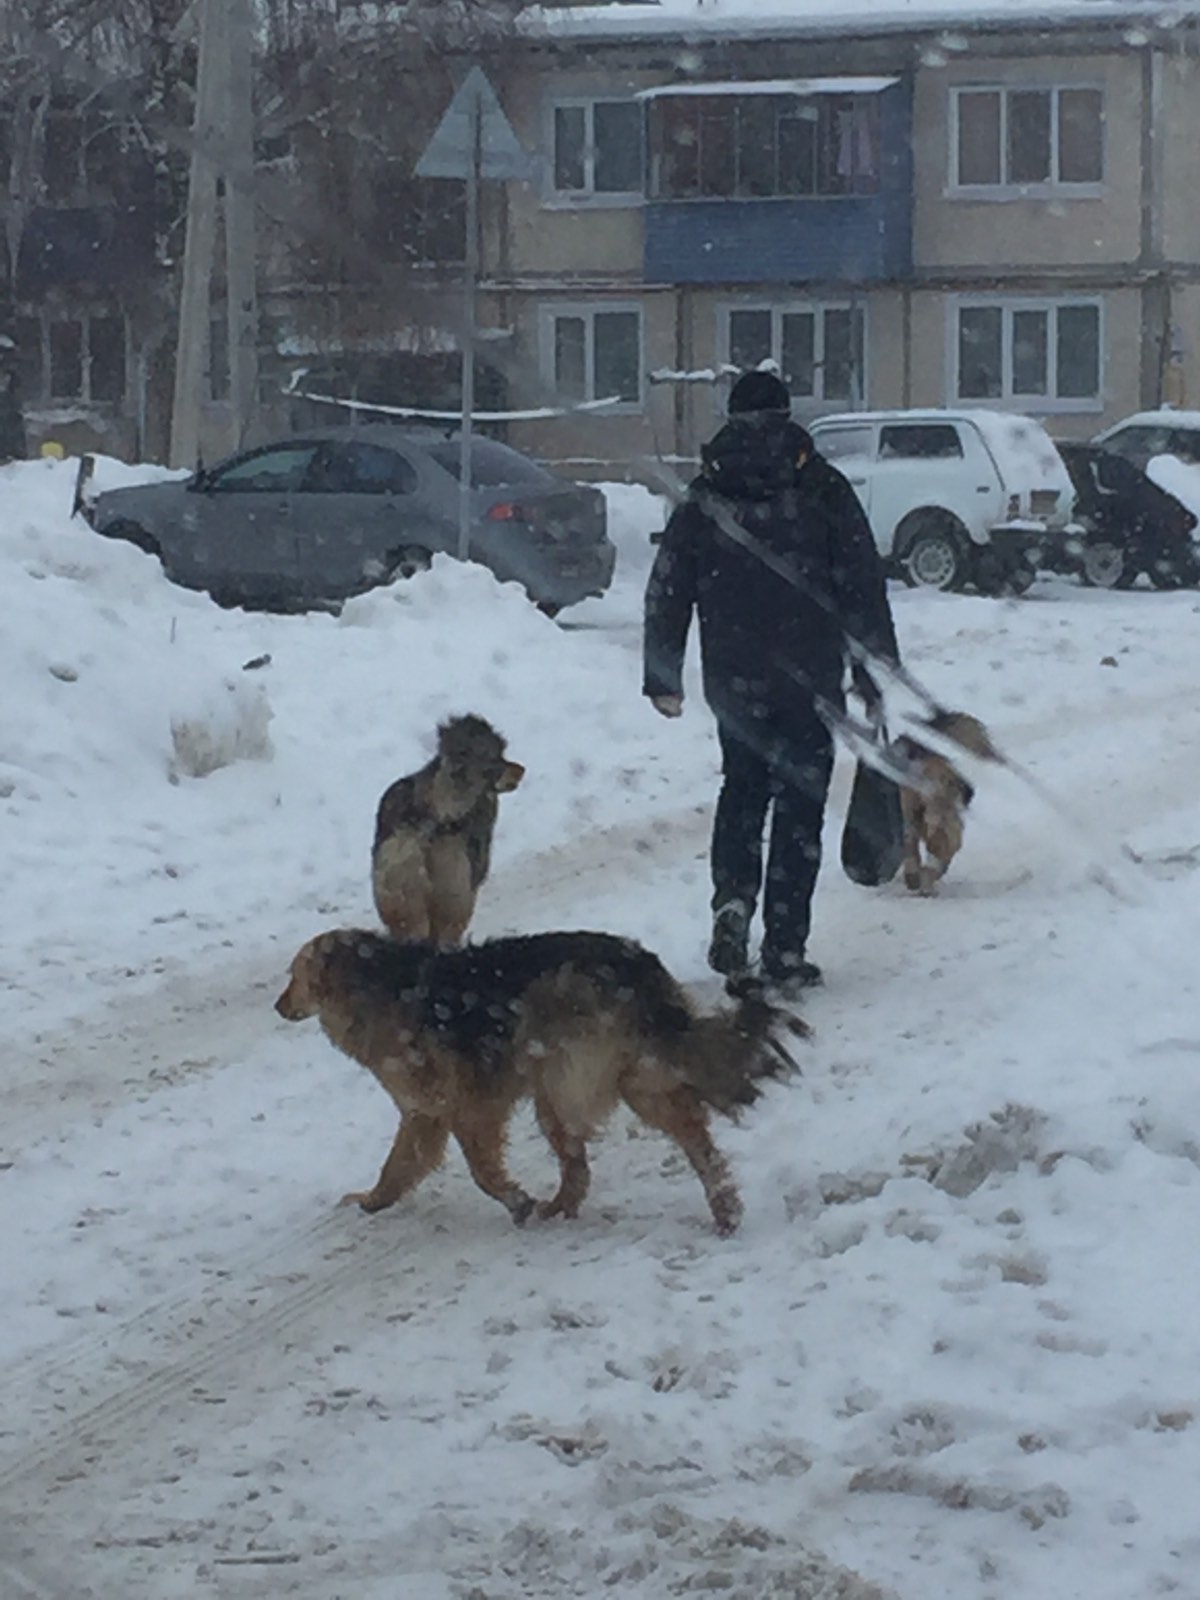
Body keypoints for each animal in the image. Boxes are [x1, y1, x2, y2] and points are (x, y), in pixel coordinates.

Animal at [276, 928, 803, 1235]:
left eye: (293, 976)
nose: (278, 1006)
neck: (376, 985)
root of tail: (638, 970)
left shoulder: (468, 1108)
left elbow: (481, 1170)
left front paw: (517, 1201)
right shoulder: (425, 1115)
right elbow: (398, 1166)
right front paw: (372, 1202)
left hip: (564, 1082)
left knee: (588, 1159)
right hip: (632, 1077)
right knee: (690, 1138)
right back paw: (722, 1206)